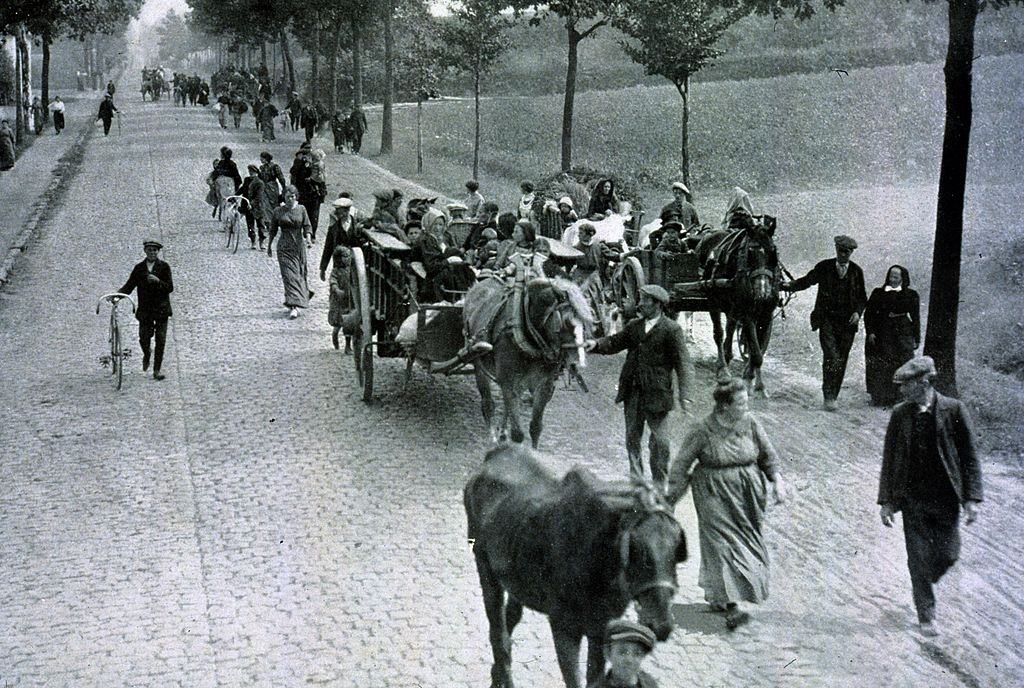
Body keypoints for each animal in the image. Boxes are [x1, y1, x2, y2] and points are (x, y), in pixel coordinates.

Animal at [464, 274, 593, 446]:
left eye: (586, 324)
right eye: (566, 322)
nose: (579, 364)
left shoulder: (543, 386)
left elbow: (536, 427)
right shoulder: (509, 383)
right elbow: (518, 433)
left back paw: (502, 433)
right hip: (479, 365)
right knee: (488, 404)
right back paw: (493, 439)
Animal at [466, 440, 688, 688]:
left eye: (678, 546)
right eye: (636, 548)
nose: (662, 624)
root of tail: (497, 452)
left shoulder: (601, 627)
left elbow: (595, 676)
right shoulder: (564, 626)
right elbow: (573, 678)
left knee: (510, 618)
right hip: (484, 565)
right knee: (498, 632)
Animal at [696, 218, 782, 395]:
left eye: (773, 252)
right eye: (750, 252)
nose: (762, 292)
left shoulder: (766, 313)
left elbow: (757, 348)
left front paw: (755, 381)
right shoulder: (747, 312)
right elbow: (756, 352)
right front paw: (750, 381)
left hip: (732, 306)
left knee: (730, 326)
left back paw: (728, 354)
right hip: (713, 299)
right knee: (719, 333)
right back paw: (723, 368)